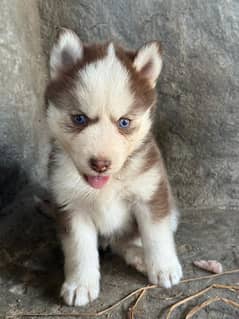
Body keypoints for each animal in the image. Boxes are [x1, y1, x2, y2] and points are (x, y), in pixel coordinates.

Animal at [45, 28, 182, 306]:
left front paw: (164, 267)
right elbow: (79, 249)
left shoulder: (150, 192)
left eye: (124, 122)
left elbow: (156, 235)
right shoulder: (70, 205)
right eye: (79, 119)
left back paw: (139, 256)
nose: (100, 164)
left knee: (127, 240)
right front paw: (80, 284)